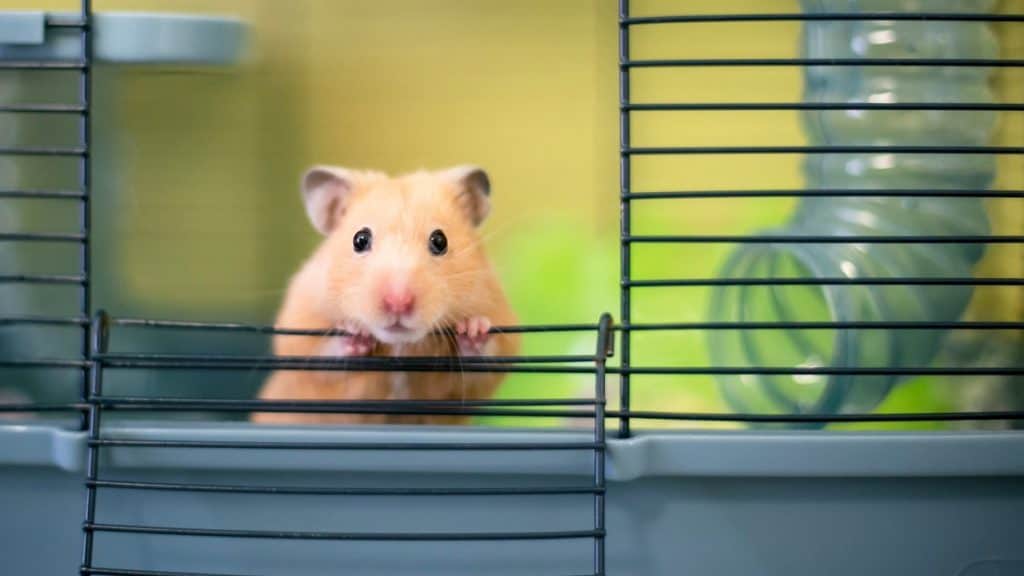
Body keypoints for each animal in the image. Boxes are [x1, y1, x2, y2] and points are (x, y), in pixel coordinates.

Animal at [248, 163, 520, 424]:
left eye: (440, 241)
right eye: (359, 240)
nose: (398, 303)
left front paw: (473, 328)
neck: (399, 343)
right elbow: (320, 356)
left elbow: (483, 360)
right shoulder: (300, 328)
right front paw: (355, 334)